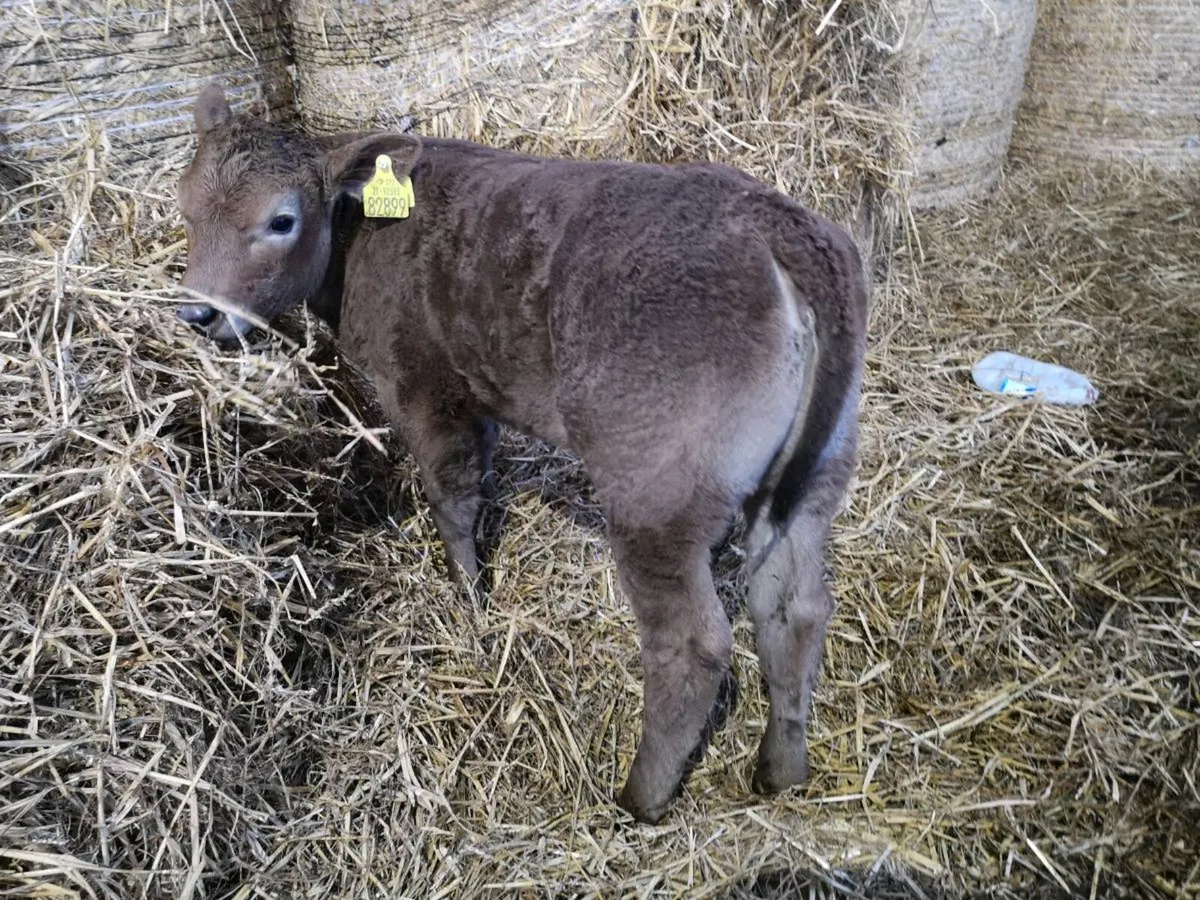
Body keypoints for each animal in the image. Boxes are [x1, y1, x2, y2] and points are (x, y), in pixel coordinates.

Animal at [174, 81, 867, 824]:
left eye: (281, 220)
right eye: (184, 204)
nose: (198, 314)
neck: (365, 233)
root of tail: (774, 225)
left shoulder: (420, 385)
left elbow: (450, 496)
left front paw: (470, 605)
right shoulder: (477, 396)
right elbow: (480, 483)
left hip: (659, 490)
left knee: (693, 645)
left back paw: (640, 797)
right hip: (814, 474)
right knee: (793, 606)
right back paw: (781, 767)